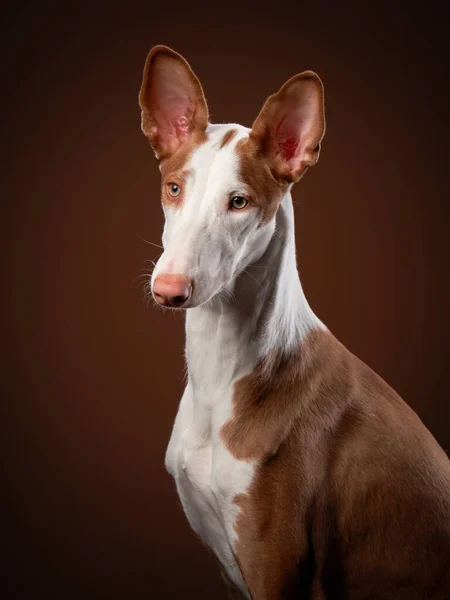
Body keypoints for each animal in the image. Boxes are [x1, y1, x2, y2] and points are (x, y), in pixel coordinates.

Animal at [137, 44, 450, 596]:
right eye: (174, 188)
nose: (169, 289)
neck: (227, 372)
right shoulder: (229, 567)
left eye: (239, 202)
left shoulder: (277, 567)